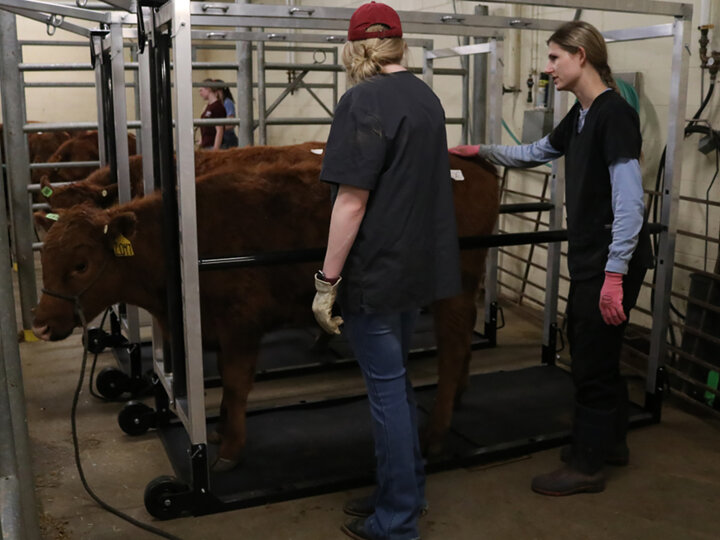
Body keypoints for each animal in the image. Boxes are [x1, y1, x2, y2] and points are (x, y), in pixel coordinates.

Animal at [31, 147, 498, 468]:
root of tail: (469, 163)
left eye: (81, 264)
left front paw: (230, 447)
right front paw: (221, 429)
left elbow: (236, 385)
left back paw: (435, 433)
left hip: (452, 291)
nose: (39, 325)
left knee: (453, 348)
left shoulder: (241, 325)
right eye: (46, 254)